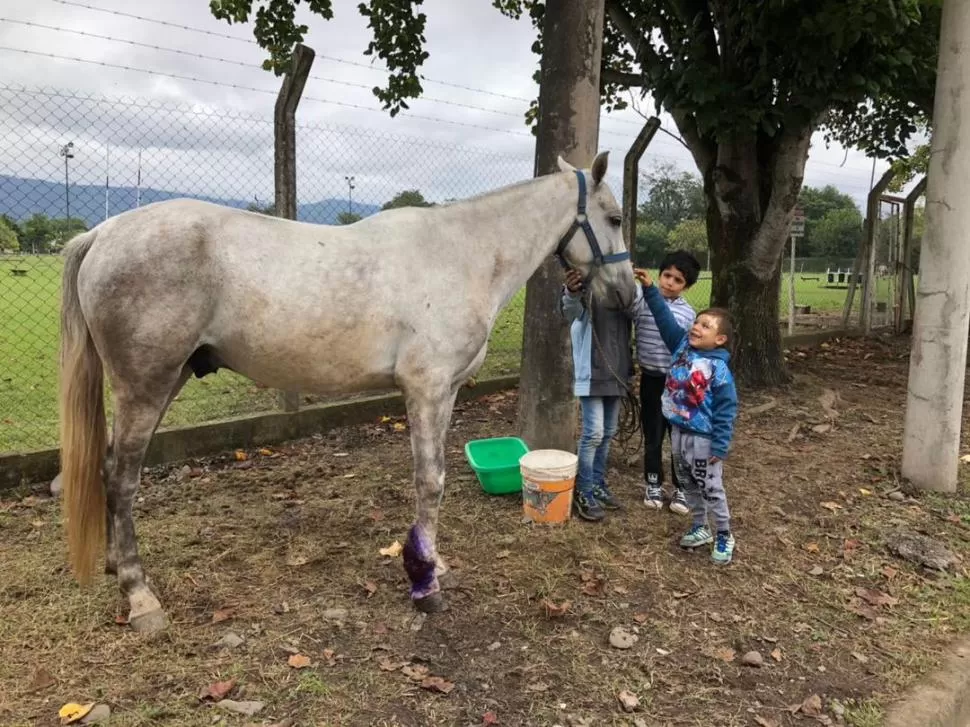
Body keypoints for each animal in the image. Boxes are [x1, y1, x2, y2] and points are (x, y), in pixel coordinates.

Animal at [58, 151, 636, 632]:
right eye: (614, 218)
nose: (627, 294)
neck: (460, 255)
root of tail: (103, 233)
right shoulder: (425, 390)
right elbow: (430, 481)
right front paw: (425, 583)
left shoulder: (445, 393)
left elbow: (433, 481)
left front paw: (435, 561)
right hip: (146, 385)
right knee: (122, 479)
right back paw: (140, 597)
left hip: (166, 379)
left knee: (111, 470)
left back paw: (115, 567)